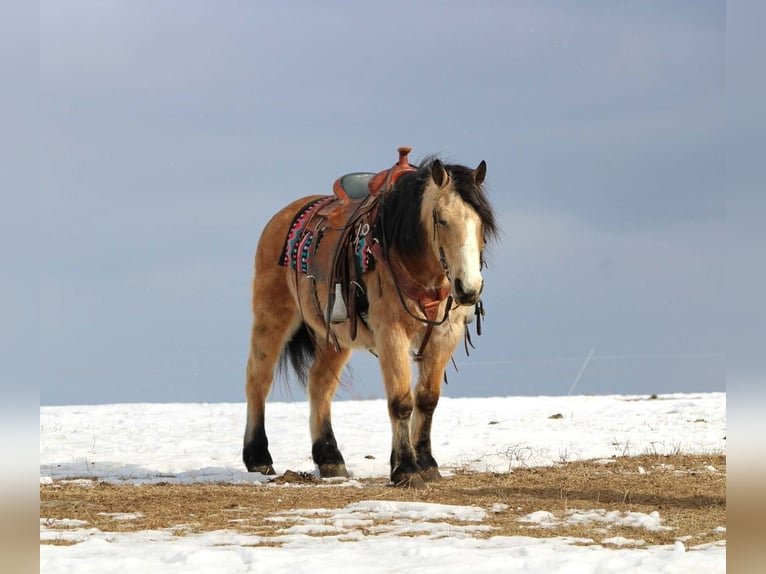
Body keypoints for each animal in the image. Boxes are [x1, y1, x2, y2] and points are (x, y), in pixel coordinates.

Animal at [243, 147, 498, 488]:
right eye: (441, 219)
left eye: (481, 222)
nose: (468, 288)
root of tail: (281, 219)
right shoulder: (391, 331)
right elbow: (401, 400)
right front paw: (406, 469)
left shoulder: (446, 334)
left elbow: (427, 399)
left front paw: (426, 464)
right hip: (272, 316)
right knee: (258, 379)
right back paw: (258, 458)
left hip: (334, 338)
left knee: (319, 384)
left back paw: (331, 459)